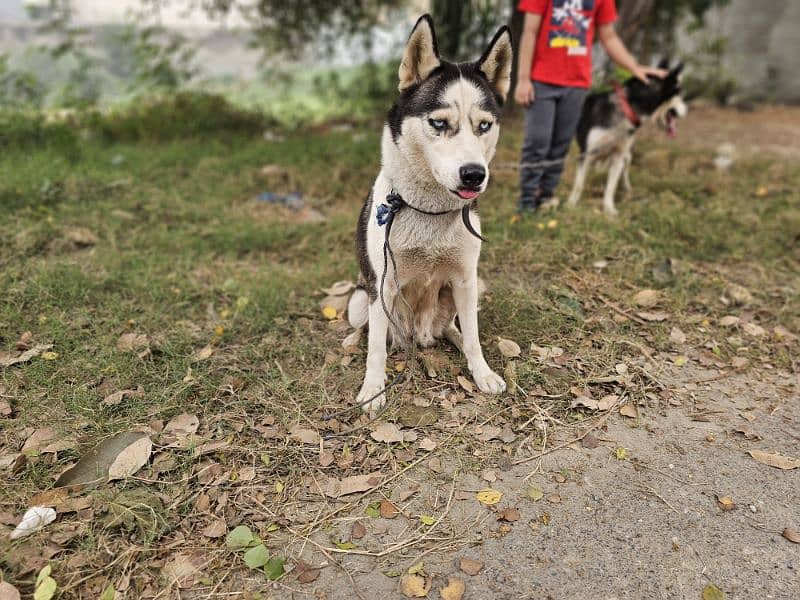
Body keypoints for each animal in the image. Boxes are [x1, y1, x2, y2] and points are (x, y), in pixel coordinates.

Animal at [346, 16, 512, 414]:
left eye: (484, 125)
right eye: (439, 123)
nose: (474, 174)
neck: (428, 212)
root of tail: (417, 337)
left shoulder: (466, 278)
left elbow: (474, 336)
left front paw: (482, 372)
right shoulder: (382, 284)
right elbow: (375, 349)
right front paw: (373, 389)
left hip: (469, 289)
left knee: (454, 327)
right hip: (359, 300)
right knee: (367, 330)